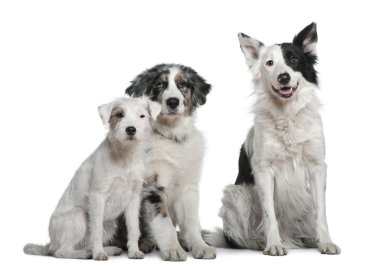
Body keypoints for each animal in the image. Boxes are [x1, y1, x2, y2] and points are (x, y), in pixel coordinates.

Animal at [23, 96, 160, 260]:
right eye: (120, 114)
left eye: (142, 116)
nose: (131, 129)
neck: (124, 155)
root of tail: (50, 244)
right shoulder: (98, 196)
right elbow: (96, 229)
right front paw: (99, 253)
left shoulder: (133, 199)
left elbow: (133, 228)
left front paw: (133, 251)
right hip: (78, 216)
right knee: (62, 251)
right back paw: (85, 253)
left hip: (109, 223)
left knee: (85, 243)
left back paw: (106, 249)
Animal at [115, 63, 217, 260]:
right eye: (159, 85)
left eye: (182, 84)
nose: (173, 102)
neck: (170, 136)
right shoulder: (151, 187)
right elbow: (163, 221)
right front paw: (172, 249)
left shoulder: (188, 187)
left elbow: (192, 221)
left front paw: (199, 246)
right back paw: (145, 244)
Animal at [205, 22, 342, 255]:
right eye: (269, 63)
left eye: (293, 60)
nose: (283, 77)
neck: (287, 115)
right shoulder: (264, 171)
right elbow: (269, 215)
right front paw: (274, 245)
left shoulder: (317, 167)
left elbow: (321, 212)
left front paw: (325, 242)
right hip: (236, 194)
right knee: (236, 238)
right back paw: (258, 242)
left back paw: (308, 239)